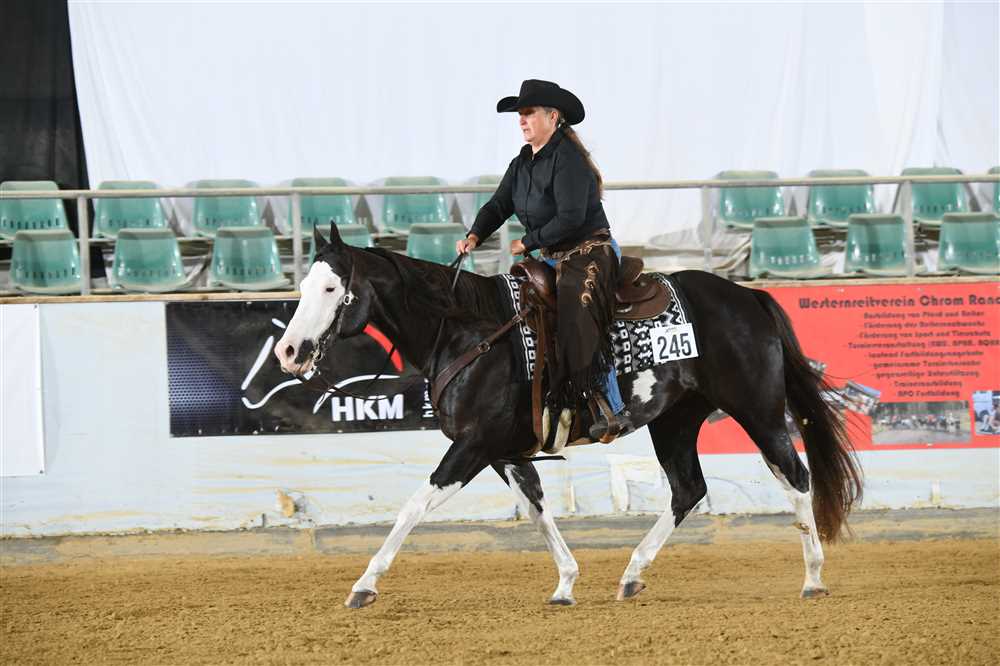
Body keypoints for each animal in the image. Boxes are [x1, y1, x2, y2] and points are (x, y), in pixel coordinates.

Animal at [275, 224, 863, 608]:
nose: (289, 352)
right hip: (675, 419)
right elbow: (537, 509)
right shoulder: (505, 452)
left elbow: (415, 505)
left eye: (331, 287)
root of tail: (747, 296)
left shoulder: (471, 446)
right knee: (688, 489)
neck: (467, 331)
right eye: (302, 287)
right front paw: (565, 583)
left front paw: (364, 584)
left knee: (796, 476)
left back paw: (813, 578)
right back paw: (632, 574)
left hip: (757, 409)